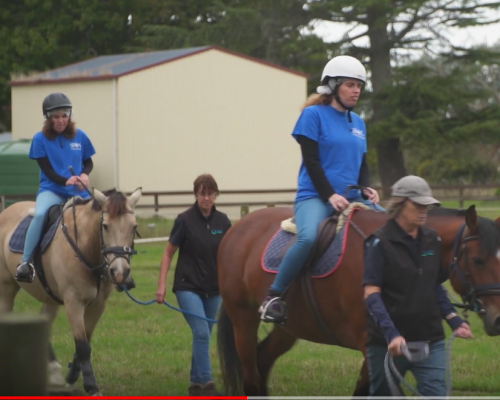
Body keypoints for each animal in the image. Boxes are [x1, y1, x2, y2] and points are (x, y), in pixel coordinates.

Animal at [0, 189, 142, 396]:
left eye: (133, 227)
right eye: (105, 226)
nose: (119, 272)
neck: (86, 249)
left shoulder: (98, 306)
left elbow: (86, 342)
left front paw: (72, 379)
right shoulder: (73, 303)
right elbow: (82, 346)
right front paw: (91, 386)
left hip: (49, 297)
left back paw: (55, 372)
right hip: (7, 288)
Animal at [217, 205, 500, 396]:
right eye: (477, 260)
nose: (497, 320)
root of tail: (238, 228)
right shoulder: (372, 345)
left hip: (289, 327)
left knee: (263, 359)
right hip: (242, 321)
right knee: (251, 375)